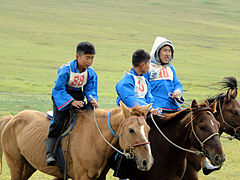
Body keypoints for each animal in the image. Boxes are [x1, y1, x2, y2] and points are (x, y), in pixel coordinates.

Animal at [0, 102, 154, 179]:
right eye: (131, 130)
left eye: (148, 129)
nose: (147, 162)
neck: (94, 139)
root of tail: (11, 119)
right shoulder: (82, 177)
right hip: (16, 165)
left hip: (28, 166)